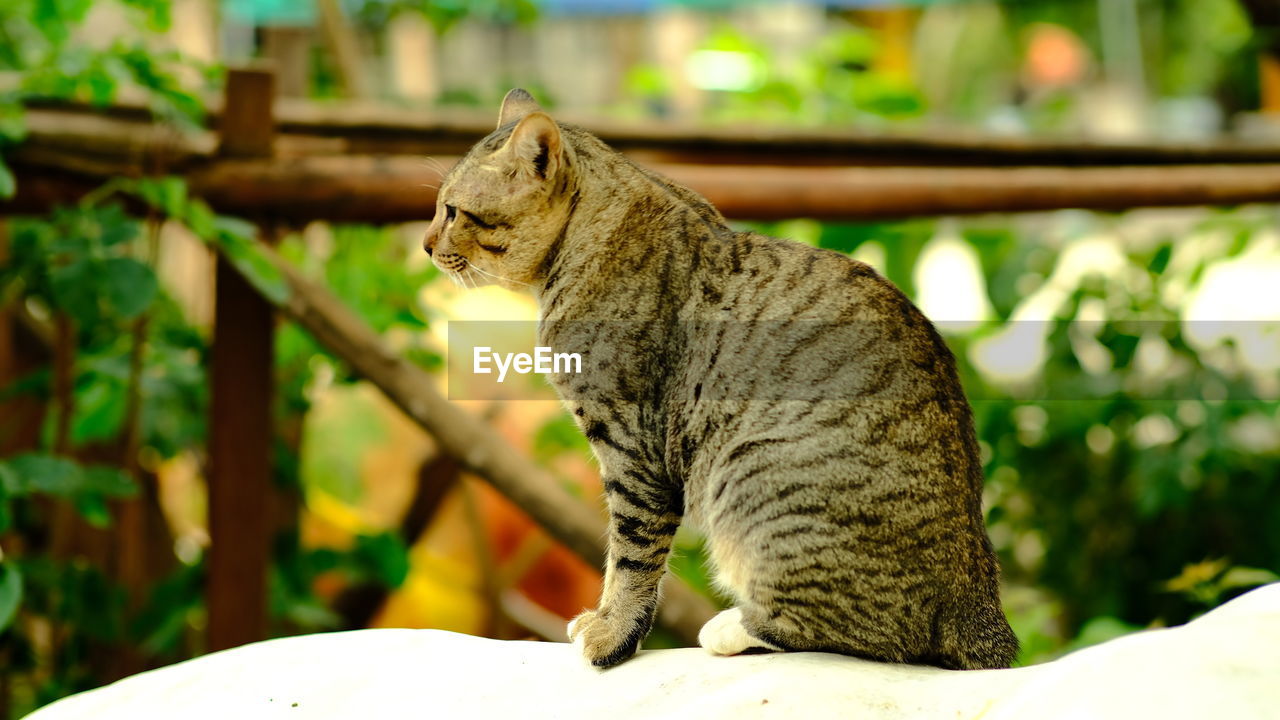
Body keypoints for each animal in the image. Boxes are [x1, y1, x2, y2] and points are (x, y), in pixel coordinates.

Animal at [422, 88, 1018, 666]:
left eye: (452, 211)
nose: (426, 245)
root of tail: (980, 607)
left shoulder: (633, 450)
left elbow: (630, 556)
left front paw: (612, 633)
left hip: (752, 474)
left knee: (872, 633)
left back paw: (731, 627)